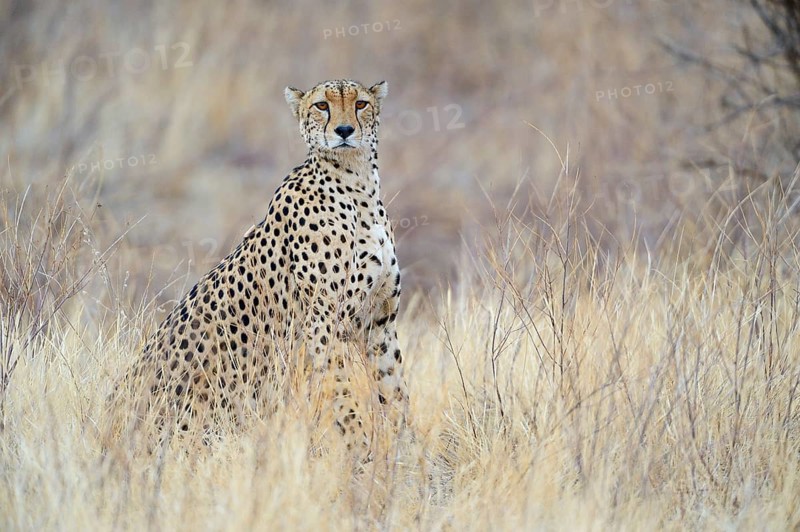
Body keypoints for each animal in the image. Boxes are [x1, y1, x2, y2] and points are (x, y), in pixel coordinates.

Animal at [109, 79, 407, 454]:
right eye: (322, 106)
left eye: (361, 104)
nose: (344, 130)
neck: (358, 186)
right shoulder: (325, 320)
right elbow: (341, 389)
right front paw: (359, 449)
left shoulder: (380, 320)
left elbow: (394, 389)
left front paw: (404, 448)